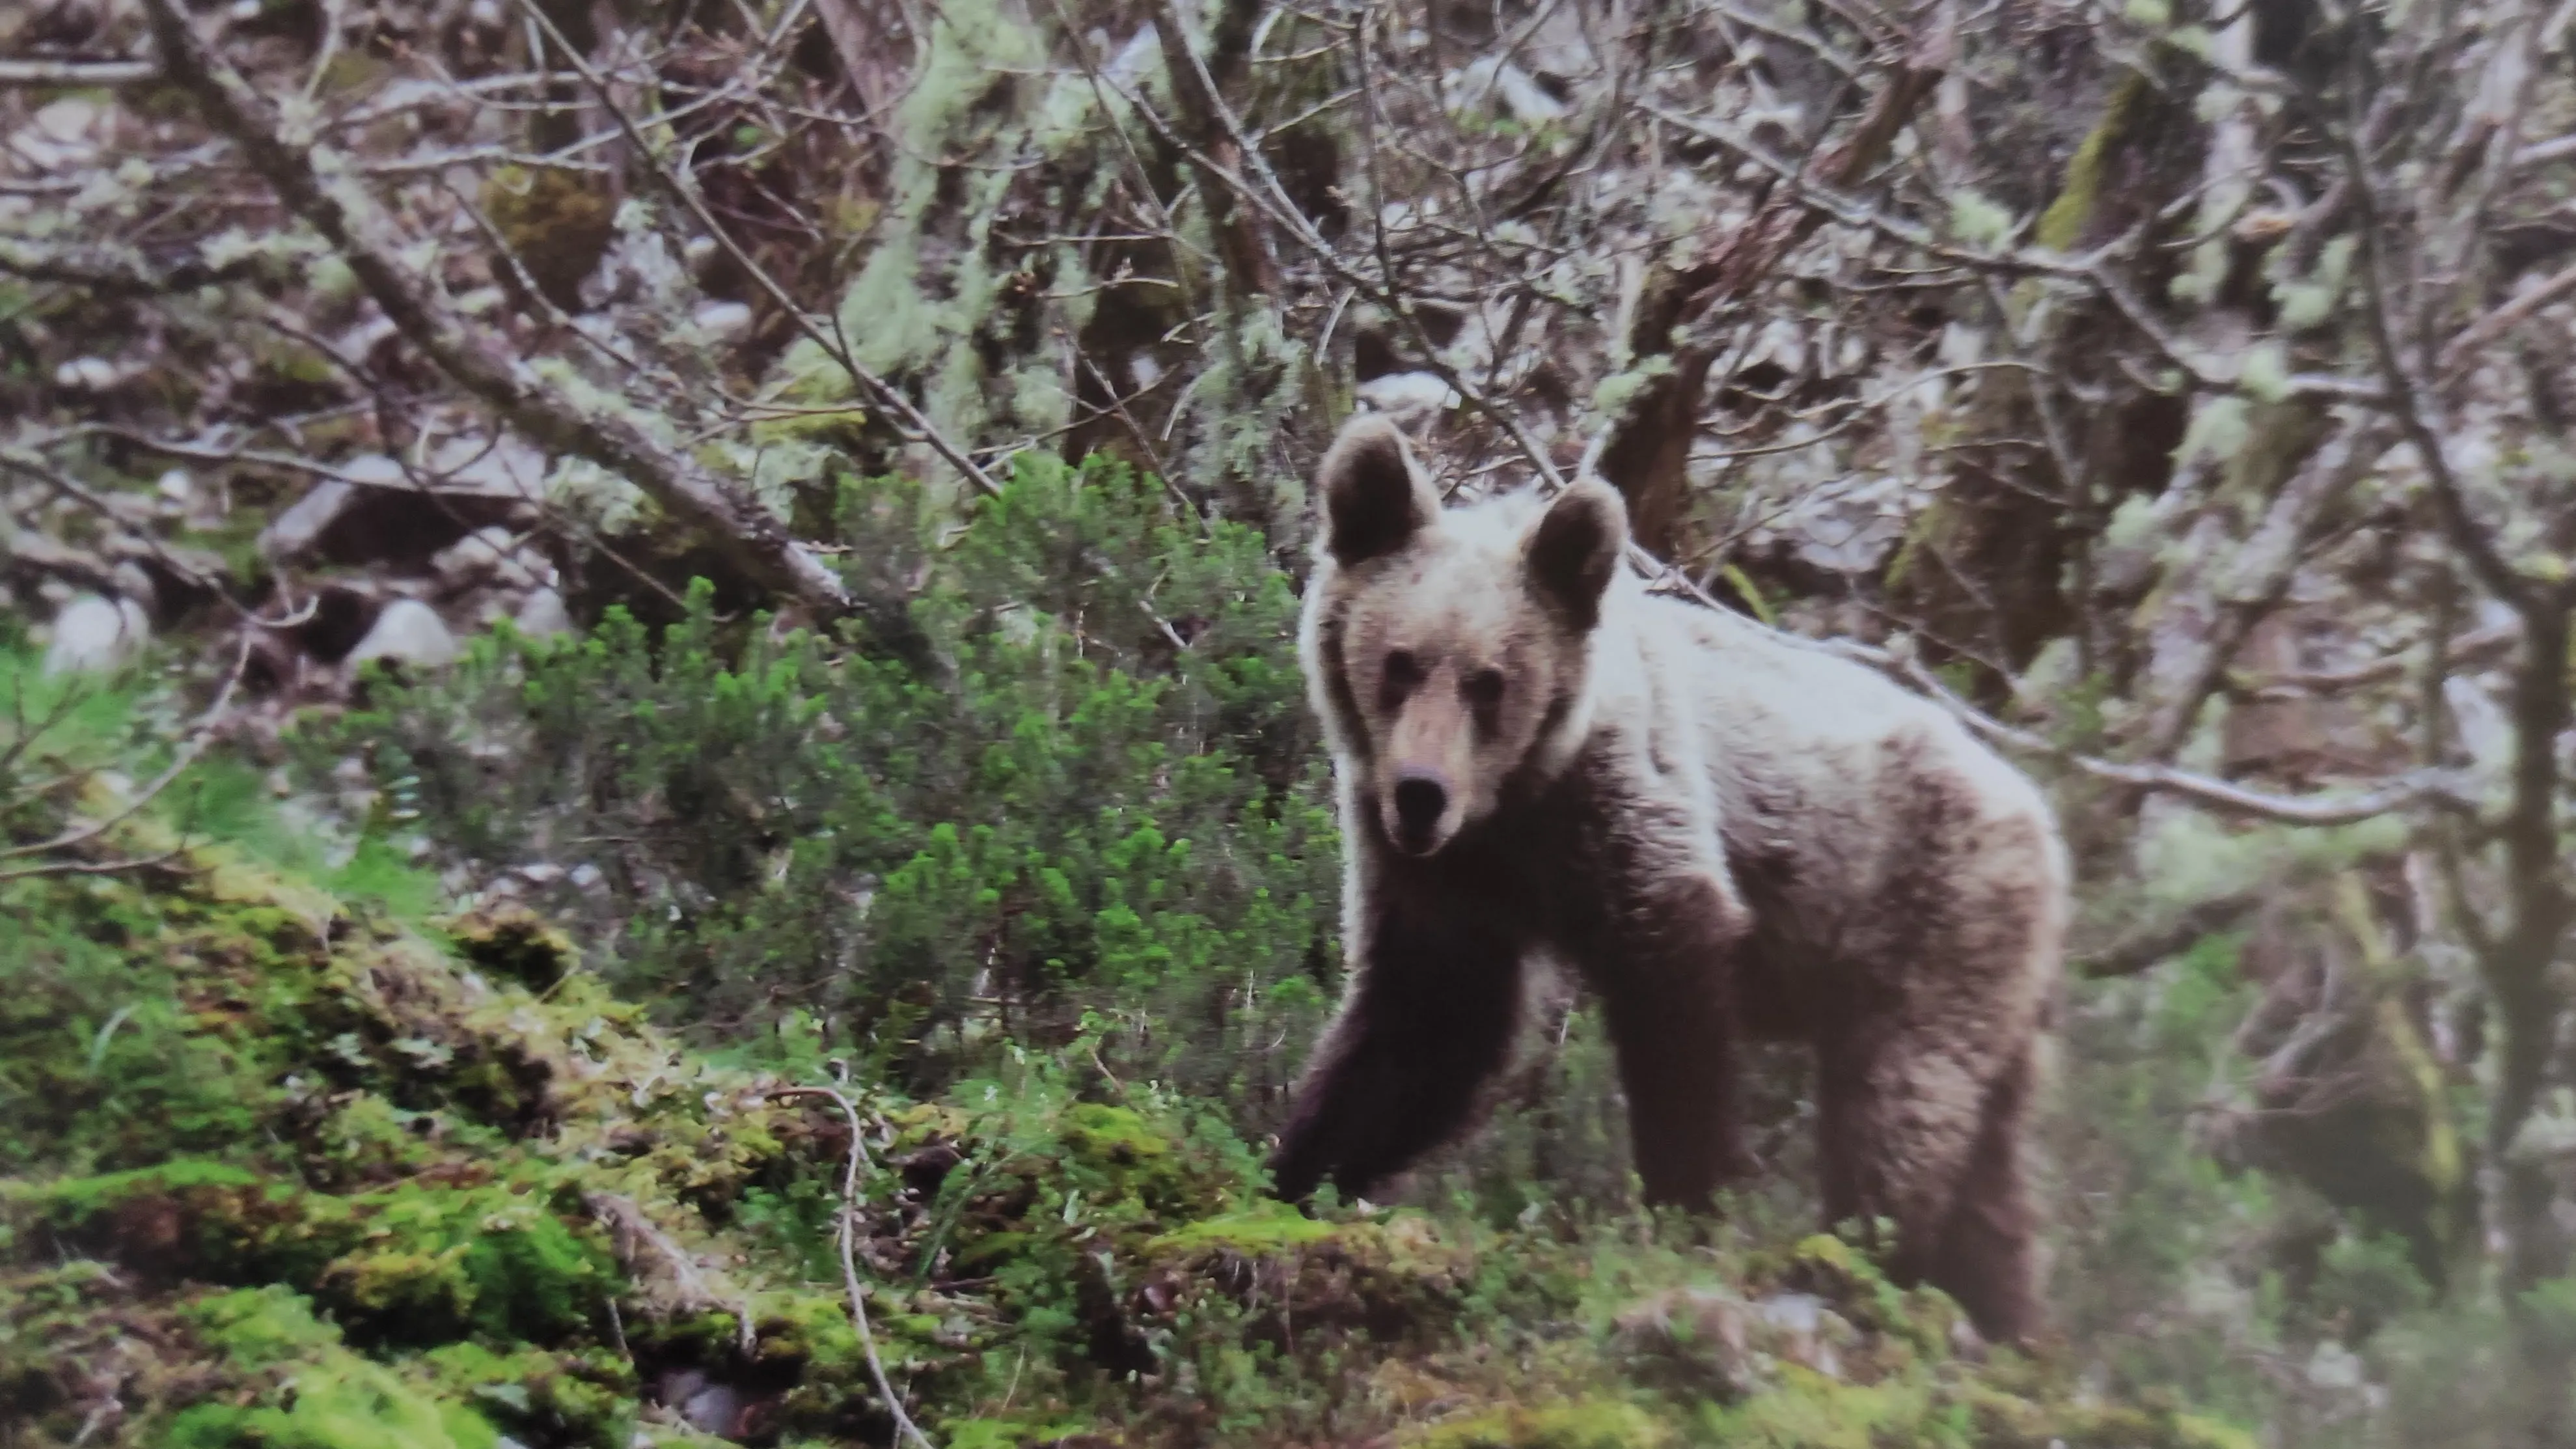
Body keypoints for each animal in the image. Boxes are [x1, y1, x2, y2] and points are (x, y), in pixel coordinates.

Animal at [1267, 412, 2071, 1340]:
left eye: (1489, 682)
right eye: (1398, 662)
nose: (1421, 794)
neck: (1517, 808)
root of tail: (2038, 816)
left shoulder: (1628, 811)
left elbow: (1674, 1001)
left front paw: (1684, 1210)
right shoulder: (1442, 885)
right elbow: (1426, 1024)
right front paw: (1296, 1169)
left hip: (1934, 918)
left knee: (1902, 1103)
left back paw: (1862, 1258)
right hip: (1994, 992)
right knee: (1993, 1186)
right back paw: (2002, 1315)